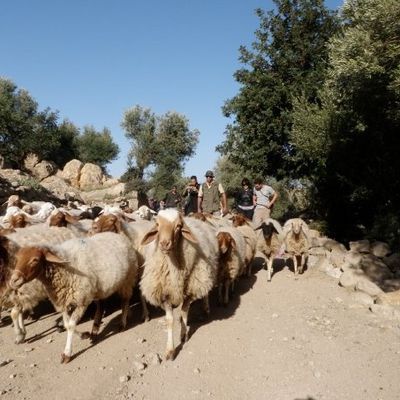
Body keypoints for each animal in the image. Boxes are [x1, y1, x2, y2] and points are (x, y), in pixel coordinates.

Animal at [8, 231, 139, 362]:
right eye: (17, 259)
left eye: (35, 260)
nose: (13, 281)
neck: (65, 268)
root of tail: (116, 234)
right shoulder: (65, 302)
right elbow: (67, 325)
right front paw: (83, 335)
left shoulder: (81, 301)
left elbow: (71, 326)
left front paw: (67, 353)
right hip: (99, 288)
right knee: (101, 306)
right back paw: (95, 330)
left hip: (127, 279)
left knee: (125, 301)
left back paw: (122, 323)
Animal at [140, 209, 219, 360]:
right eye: (157, 224)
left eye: (178, 226)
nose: (164, 244)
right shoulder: (165, 294)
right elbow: (169, 320)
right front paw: (170, 350)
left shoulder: (190, 291)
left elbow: (183, 312)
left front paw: (183, 335)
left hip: (205, 272)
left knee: (206, 291)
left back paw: (206, 308)